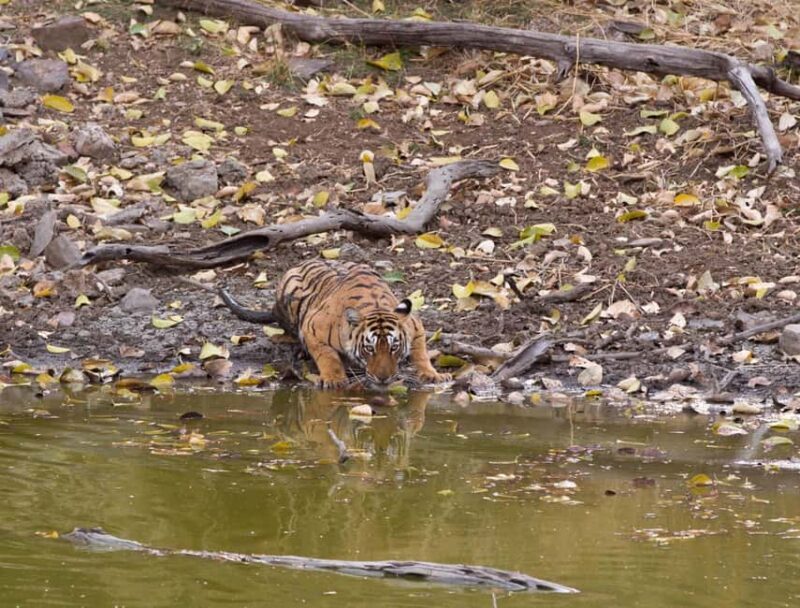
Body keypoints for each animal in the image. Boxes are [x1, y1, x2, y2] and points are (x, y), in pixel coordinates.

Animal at [219, 260, 451, 389]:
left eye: (394, 347)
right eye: (369, 349)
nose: (383, 379)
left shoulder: (415, 325)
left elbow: (421, 354)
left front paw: (434, 375)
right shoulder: (312, 328)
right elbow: (327, 356)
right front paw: (335, 379)